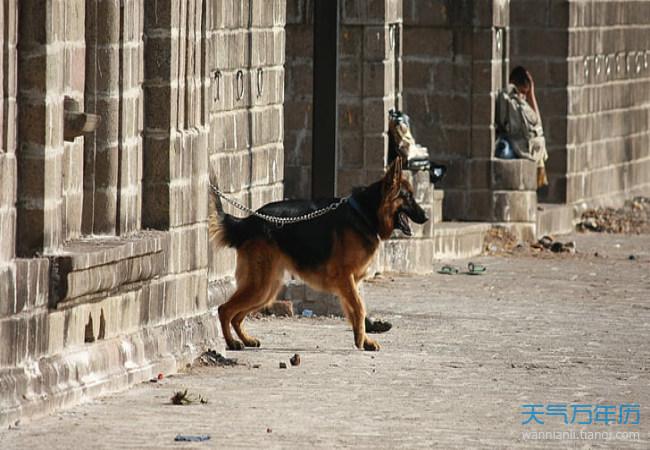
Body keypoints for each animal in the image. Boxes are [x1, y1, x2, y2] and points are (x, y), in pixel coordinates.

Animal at [209, 158, 426, 352]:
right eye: (408, 197)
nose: (426, 217)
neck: (364, 213)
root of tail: (248, 220)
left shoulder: (350, 283)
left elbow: (354, 311)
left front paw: (363, 340)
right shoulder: (346, 278)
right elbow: (359, 307)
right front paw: (362, 339)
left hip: (267, 288)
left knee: (237, 316)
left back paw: (246, 340)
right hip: (261, 286)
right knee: (224, 309)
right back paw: (232, 343)